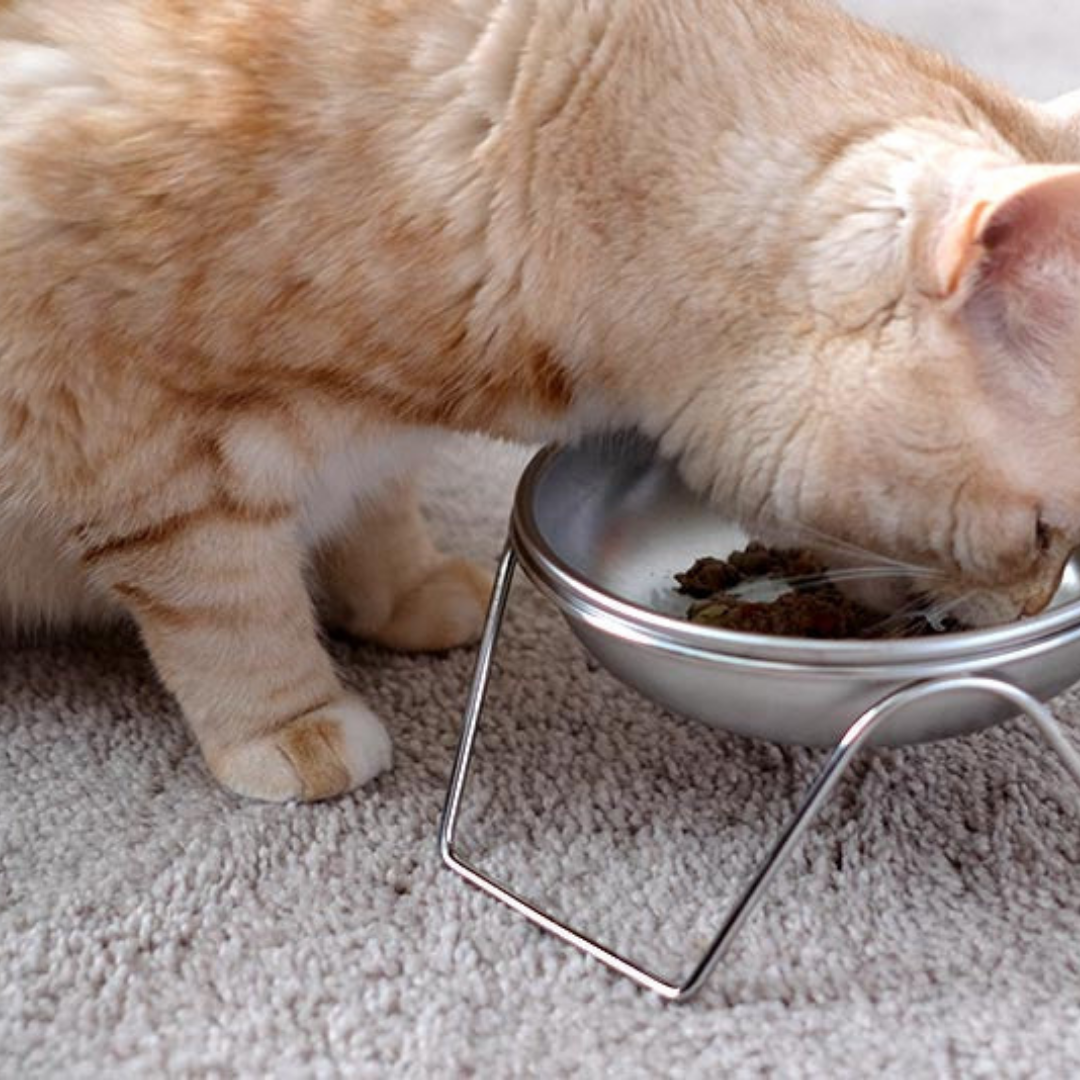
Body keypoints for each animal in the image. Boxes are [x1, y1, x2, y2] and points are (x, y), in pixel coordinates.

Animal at [2, 2, 1080, 803]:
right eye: (1038, 533)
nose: (1036, 604)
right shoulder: (135, 435)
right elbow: (230, 607)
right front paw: (294, 724)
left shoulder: (369, 435)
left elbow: (374, 515)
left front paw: (403, 593)